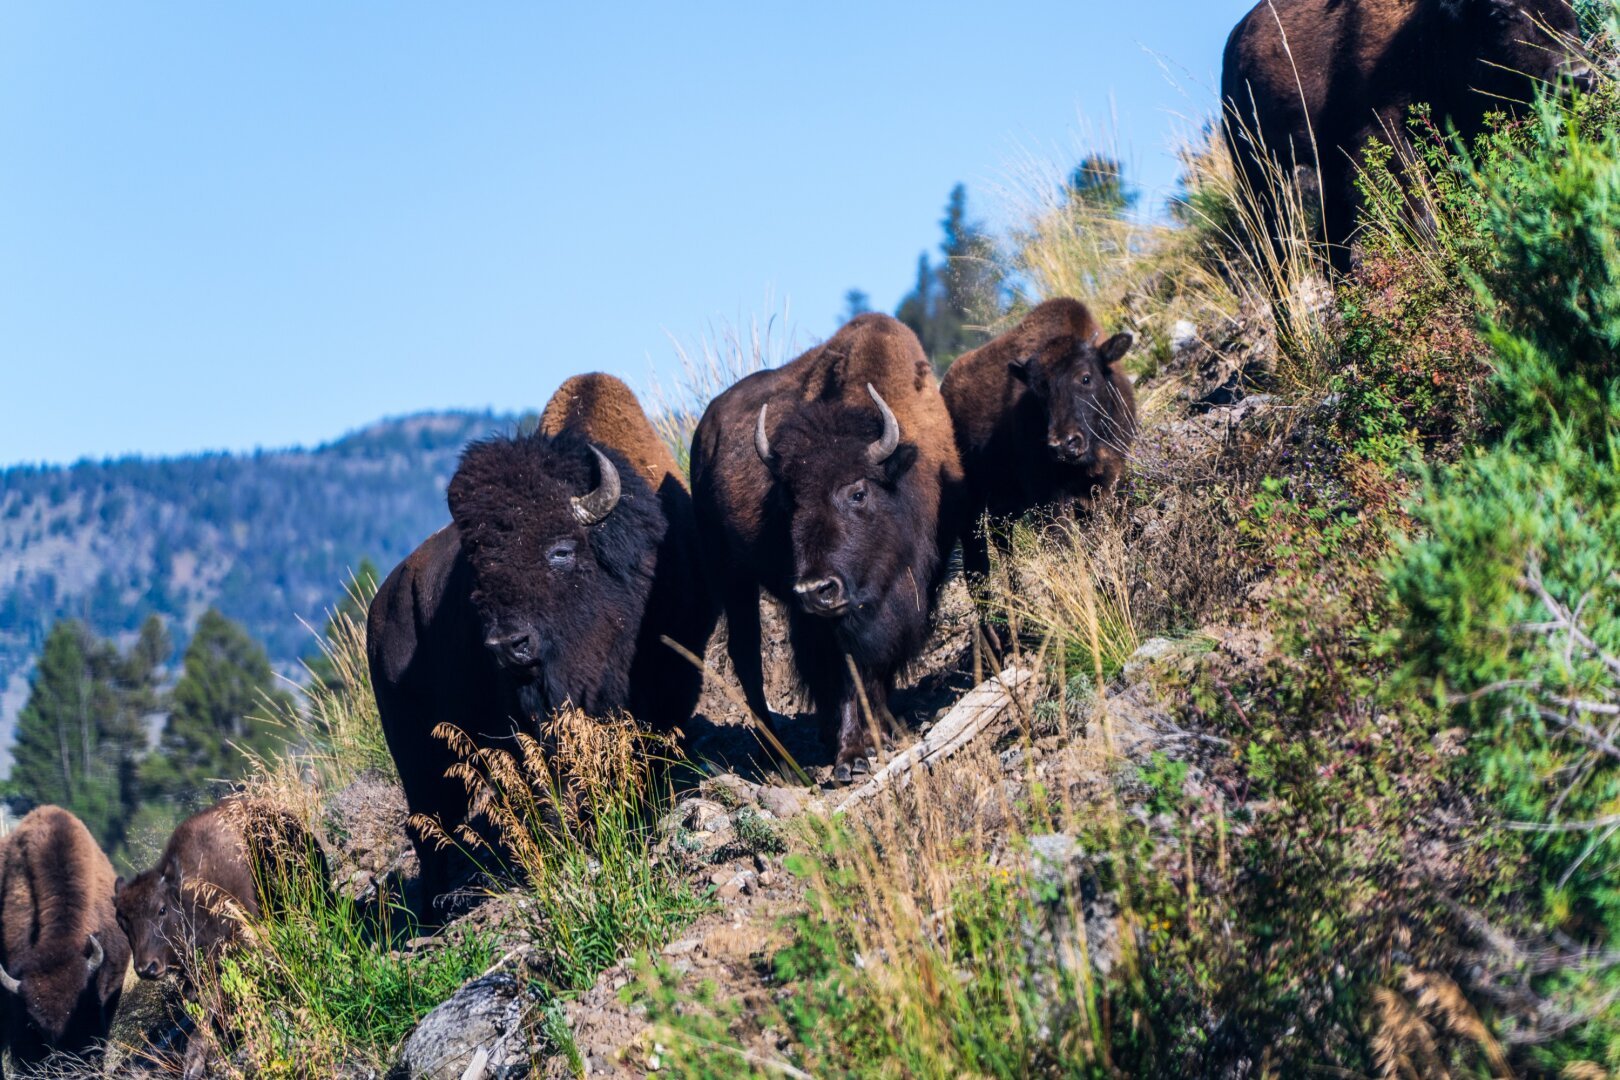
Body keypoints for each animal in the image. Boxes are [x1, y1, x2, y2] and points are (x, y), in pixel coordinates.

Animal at [369, 373, 716, 903]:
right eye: (477, 565)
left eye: (561, 550)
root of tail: (380, 608)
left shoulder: (671, 680)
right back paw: (436, 904)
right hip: (414, 747)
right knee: (428, 821)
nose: (506, 646)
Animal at [690, 313, 965, 782]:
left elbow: (879, 666)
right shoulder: (837, 618)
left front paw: (880, 732)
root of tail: (703, 434)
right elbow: (847, 672)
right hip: (731, 576)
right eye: (789, 500)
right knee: (747, 657)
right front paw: (851, 756)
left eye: (858, 492)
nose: (815, 589)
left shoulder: (911, 591)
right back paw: (778, 754)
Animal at [941, 297, 1136, 613]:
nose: (1064, 444)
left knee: (1001, 538)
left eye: (1085, 377)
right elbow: (1064, 550)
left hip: (1007, 501)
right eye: (1039, 390)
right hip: (973, 508)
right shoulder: (1049, 501)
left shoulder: (1105, 483)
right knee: (978, 567)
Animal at [1222, 0, 1584, 268]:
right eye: (1498, 14)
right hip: (1259, 169)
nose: (1578, 77)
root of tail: (1235, 43)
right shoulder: (1385, 137)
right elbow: (1422, 215)